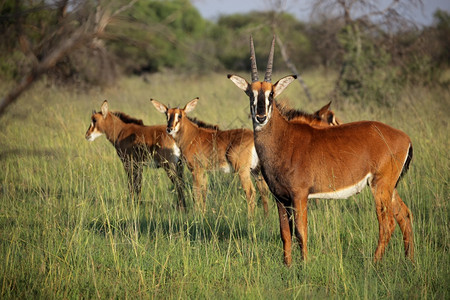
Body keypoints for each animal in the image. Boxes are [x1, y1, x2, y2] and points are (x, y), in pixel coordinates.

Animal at [229, 35, 414, 264]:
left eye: (271, 94)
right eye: (250, 94)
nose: (260, 117)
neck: (283, 138)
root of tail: (404, 137)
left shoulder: (299, 195)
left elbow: (301, 231)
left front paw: (304, 265)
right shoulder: (280, 198)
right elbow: (285, 233)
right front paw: (287, 265)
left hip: (380, 186)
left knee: (387, 224)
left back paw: (374, 263)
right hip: (390, 187)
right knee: (404, 215)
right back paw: (409, 261)